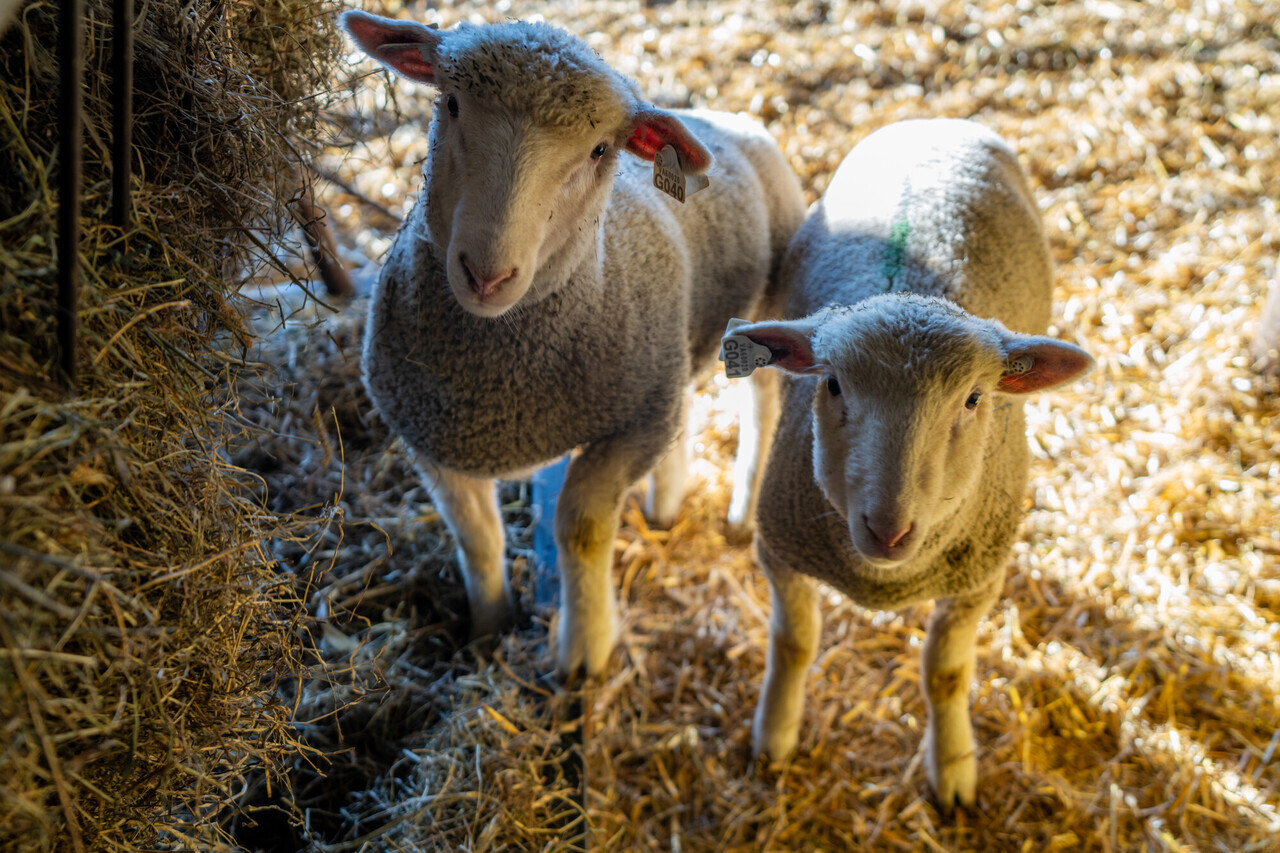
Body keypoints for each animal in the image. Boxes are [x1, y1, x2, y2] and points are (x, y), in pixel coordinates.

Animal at [339, 10, 805, 678]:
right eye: (450, 103)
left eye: (599, 150)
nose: (487, 275)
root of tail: (727, 115)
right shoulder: (428, 435)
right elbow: (476, 537)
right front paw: (488, 627)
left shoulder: (631, 425)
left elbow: (581, 528)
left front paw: (584, 653)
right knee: (687, 404)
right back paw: (666, 505)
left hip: (764, 312)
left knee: (762, 406)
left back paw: (741, 513)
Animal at [721, 118, 1093, 809]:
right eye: (832, 384)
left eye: (973, 400)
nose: (888, 528)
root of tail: (936, 121)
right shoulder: (782, 551)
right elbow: (793, 644)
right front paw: (774, 735)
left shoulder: (977, 581)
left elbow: (945, 675)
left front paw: (953, 768)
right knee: (759, 396)